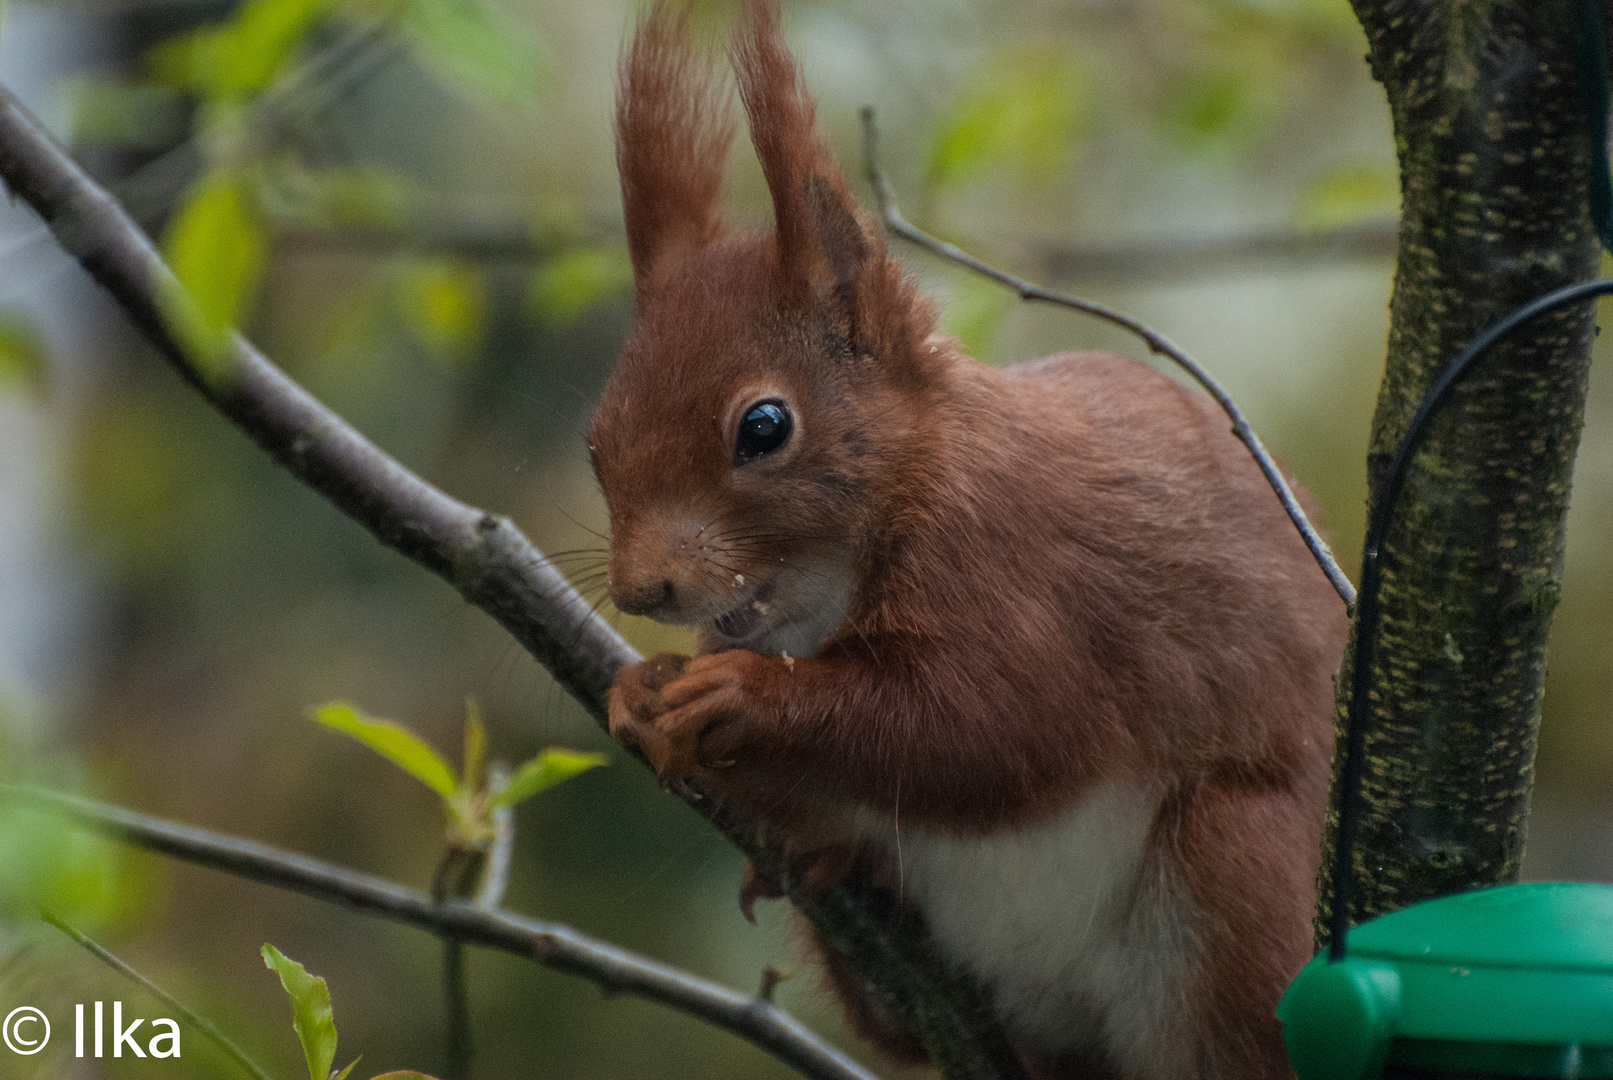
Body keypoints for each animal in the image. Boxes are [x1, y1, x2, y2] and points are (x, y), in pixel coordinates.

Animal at [593, 4, 1348, 1076]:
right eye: (596, 442)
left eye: (764, 427)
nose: (642, 591)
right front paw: (640, 688)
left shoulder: (1016, 563)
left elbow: (997, 724)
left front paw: (739, 697)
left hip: (1236, 891)